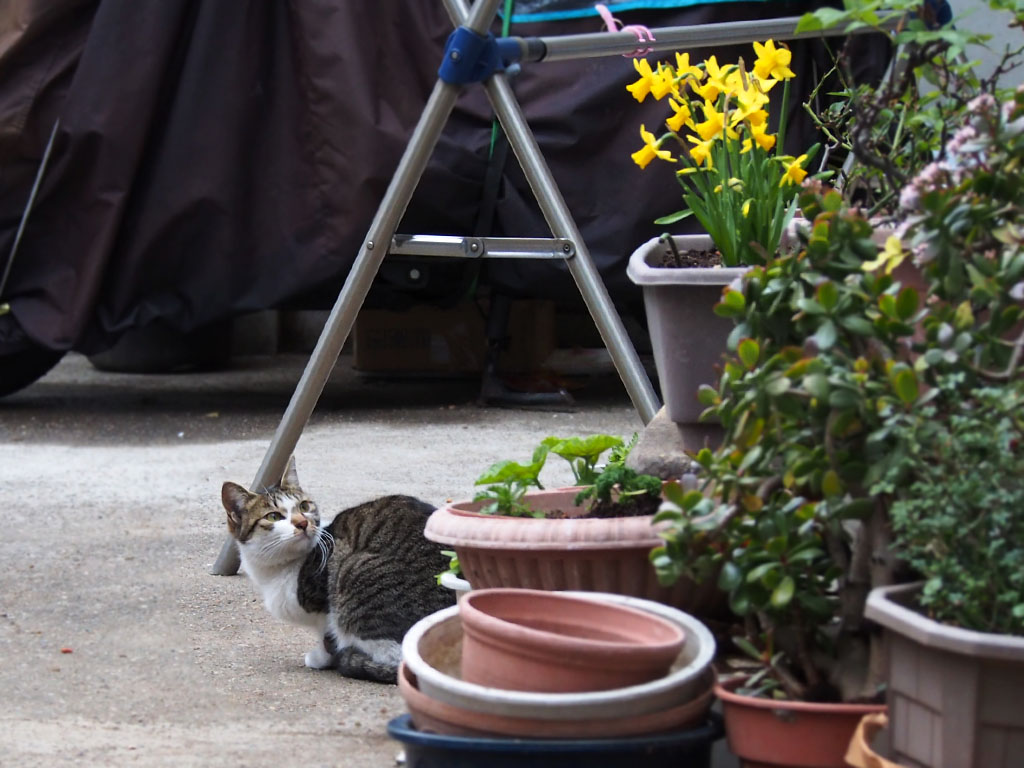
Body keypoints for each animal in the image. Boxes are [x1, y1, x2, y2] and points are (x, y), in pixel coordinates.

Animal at [222, 460, 454, 684]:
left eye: (303, 506)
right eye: (273, 516)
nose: (302, 522)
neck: (278, 569)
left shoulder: (324, 607)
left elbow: (326, 636)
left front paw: (321, 658)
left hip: (354, 572)